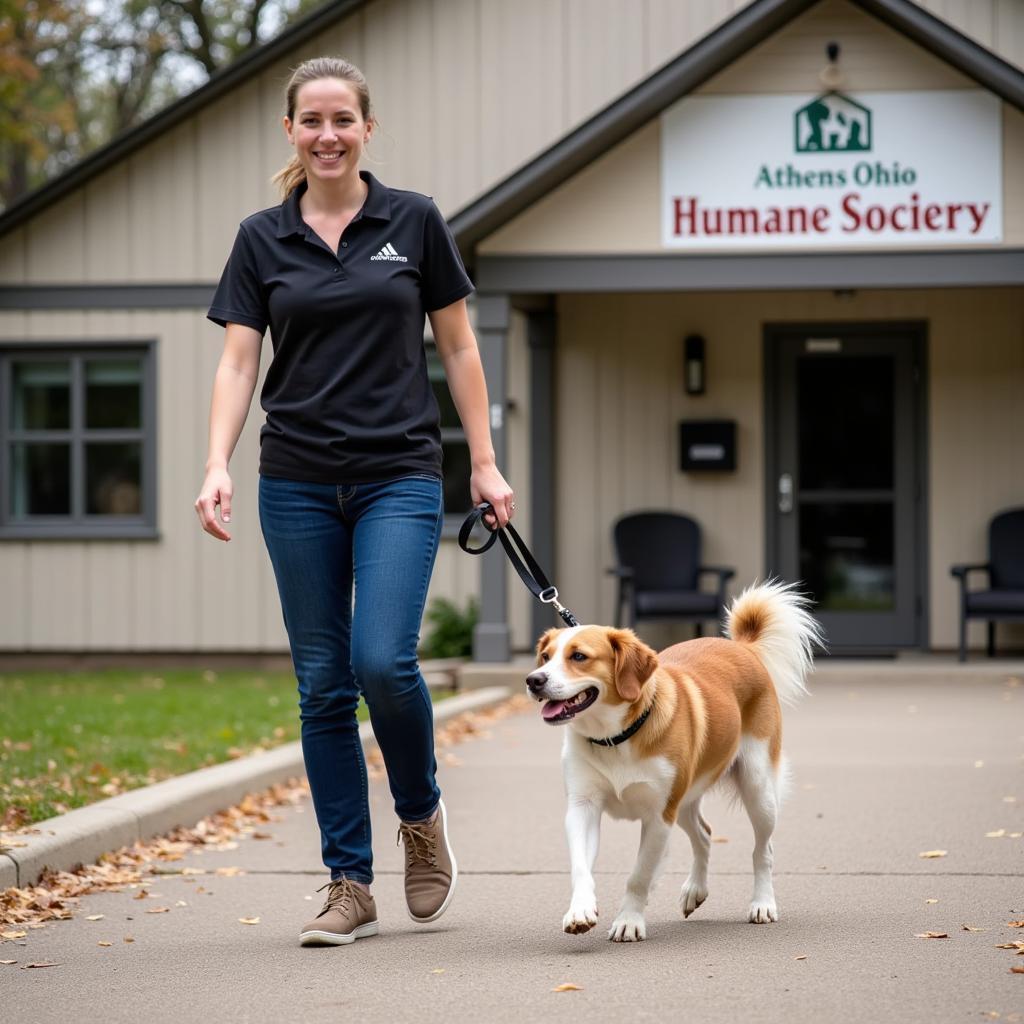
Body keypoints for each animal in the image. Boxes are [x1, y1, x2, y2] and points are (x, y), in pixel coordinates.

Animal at [528, 585, 823, 942]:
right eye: (546, 657)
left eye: (579, 657)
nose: (533, 680)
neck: (616, 738)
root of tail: (742, 647)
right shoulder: (583, 807)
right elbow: (581, 868)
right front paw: (580, 910)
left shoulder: (659, 816)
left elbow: (639, 875)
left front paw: (629, 920)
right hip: (685, 801)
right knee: (705, 835)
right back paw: (695, 889)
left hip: (758, 789)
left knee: (762, 851)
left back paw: (763, 903)